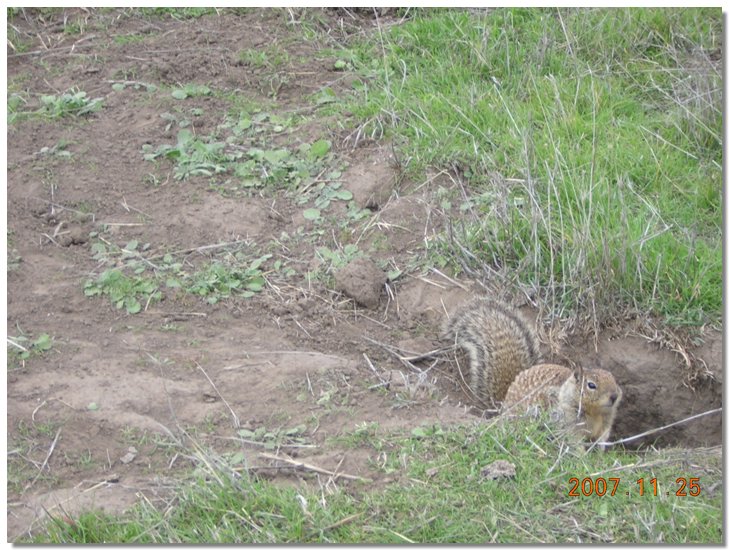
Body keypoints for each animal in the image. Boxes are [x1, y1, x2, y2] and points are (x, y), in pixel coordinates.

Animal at [444, 298, 620, 444]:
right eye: (591, 385)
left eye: (614, 379)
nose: (614, 396)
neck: (596, 413)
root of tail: (503, 405)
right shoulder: (567, 422)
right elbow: (574, 442)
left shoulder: (605, 425)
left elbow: (601, 440)